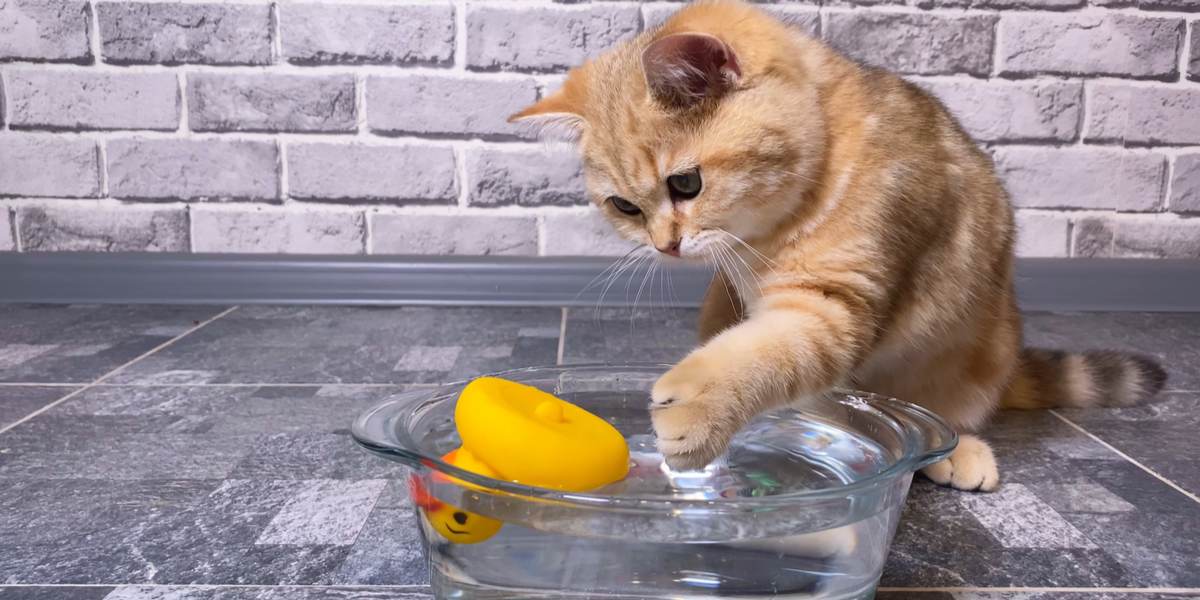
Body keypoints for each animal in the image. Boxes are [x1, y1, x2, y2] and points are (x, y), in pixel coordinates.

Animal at [511, 0, 1166, 489]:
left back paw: (957, 449)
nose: (664, 245)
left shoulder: (837, 300)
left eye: (686, 184)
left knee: (948, 412)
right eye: (624, 207)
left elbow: (766, 355)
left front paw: (697, 409)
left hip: (981, 352)